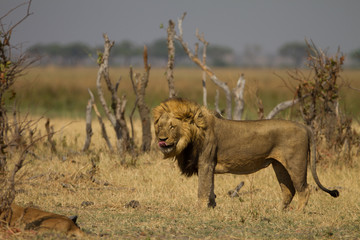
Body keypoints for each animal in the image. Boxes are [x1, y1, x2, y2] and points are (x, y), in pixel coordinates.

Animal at [153, 97, 338, 210]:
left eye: (172, 126)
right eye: (160, 126)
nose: (162, 139)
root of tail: (304, 127)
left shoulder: (206, 162)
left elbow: (203, 188)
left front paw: (199, 210)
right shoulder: (209, 165)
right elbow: (210, 187)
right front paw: (212, 207)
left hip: (296, 164)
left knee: (304, 189)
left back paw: (297, 213)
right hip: (279, 166)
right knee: (288, 190)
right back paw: (277, 212)